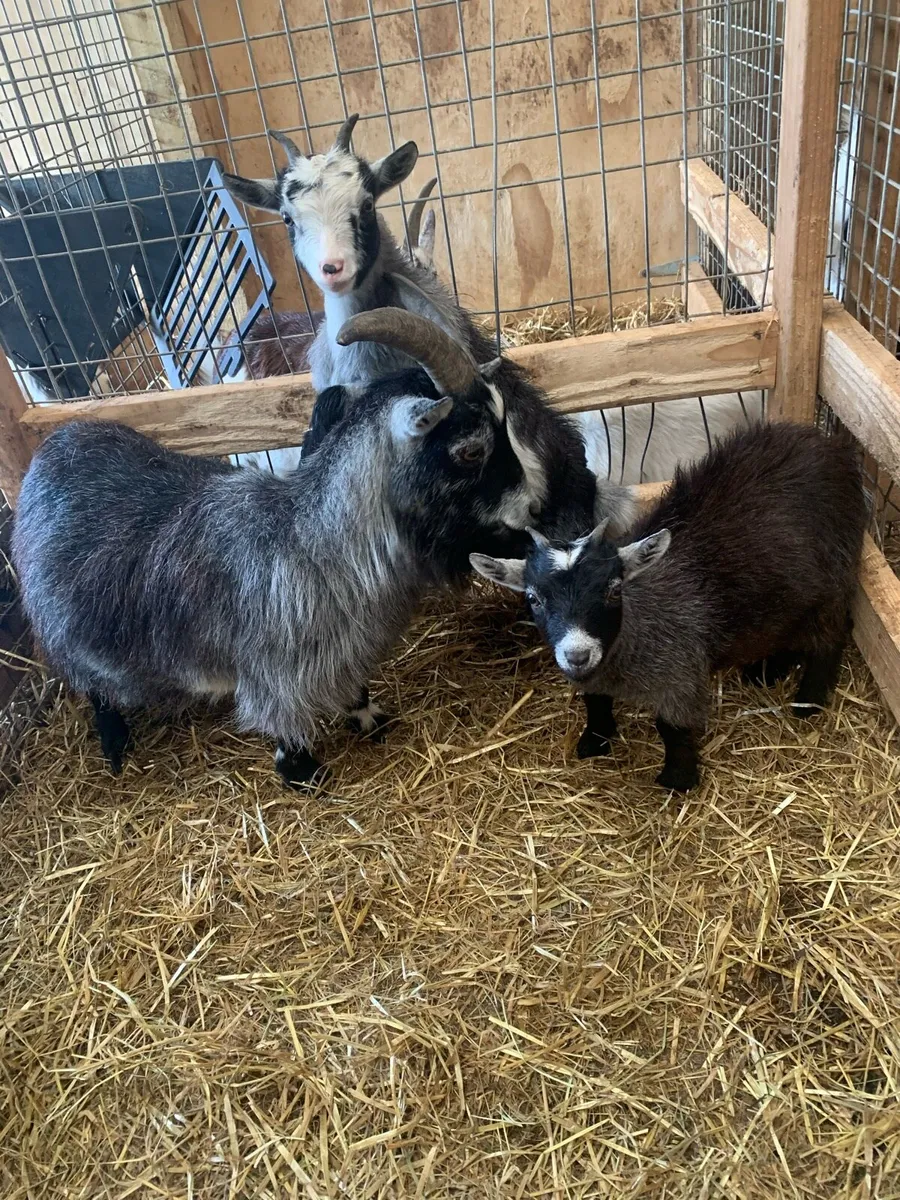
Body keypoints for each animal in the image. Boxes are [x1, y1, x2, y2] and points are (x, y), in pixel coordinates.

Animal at [13, 310, 541, 789]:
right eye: (471, 450)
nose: (536, 513)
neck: (312, 543)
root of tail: (52, 446)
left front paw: (369, 716)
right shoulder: (275, 674)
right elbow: (284, 727)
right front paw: (302, 769)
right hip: (65, 634)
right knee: (92, 687)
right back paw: (114, 743)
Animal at [470, 423, 866, 792]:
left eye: (613, 591)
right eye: (534, 598)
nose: (577, 655)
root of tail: (830, 445)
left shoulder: (680, 667)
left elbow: (671, 726)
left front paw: (679, 777)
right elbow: (594, 702)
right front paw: (595, 740)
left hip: (833, 576)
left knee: (831, 635)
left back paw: (809, 700)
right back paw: (768, 670)